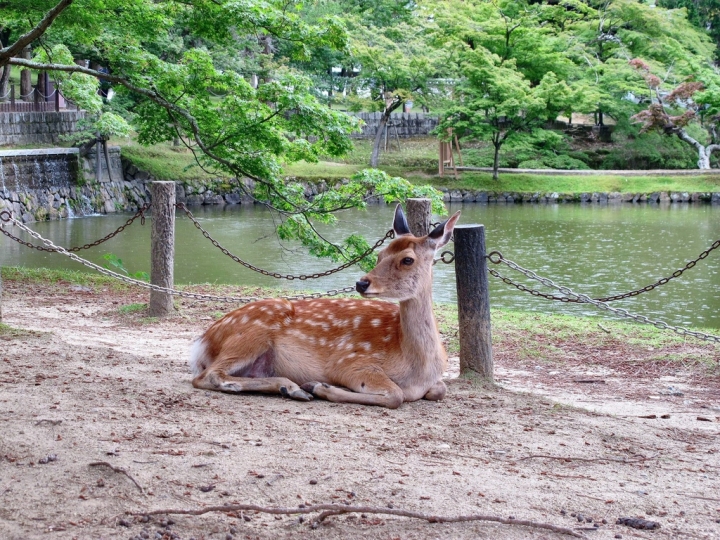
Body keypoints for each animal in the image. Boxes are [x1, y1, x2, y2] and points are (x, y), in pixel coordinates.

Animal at [189, 204, 460, 408]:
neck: (417, 371)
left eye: (407, 260)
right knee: (206, 375)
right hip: (252, 332)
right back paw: (293, 387)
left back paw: (289, 387)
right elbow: (396, 395)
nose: (361, 283)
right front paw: (320, 386)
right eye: (380, 254)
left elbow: (440, 390)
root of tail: (203, 341)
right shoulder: (350, 361)